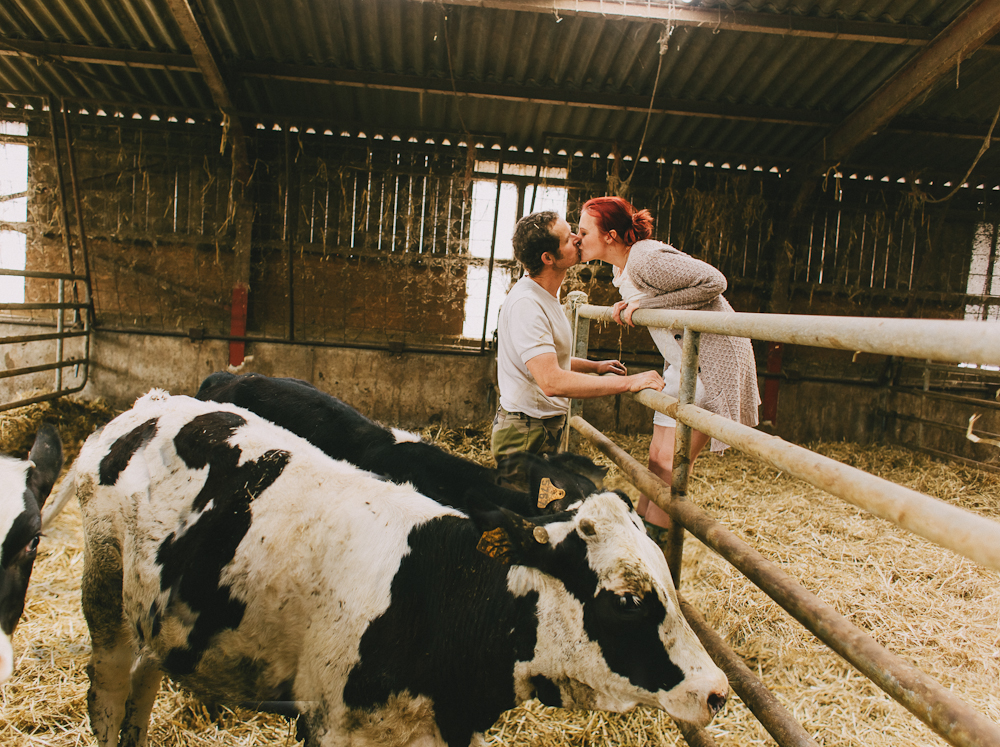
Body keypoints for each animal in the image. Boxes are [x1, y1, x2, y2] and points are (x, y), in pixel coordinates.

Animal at [76, 394, 728, 744]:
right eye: (627, 599)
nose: (718, 691)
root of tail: (152, 405)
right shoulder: (329, 726)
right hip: (106, 605)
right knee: (108, 695)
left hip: (156, 623)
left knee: (142, 688)